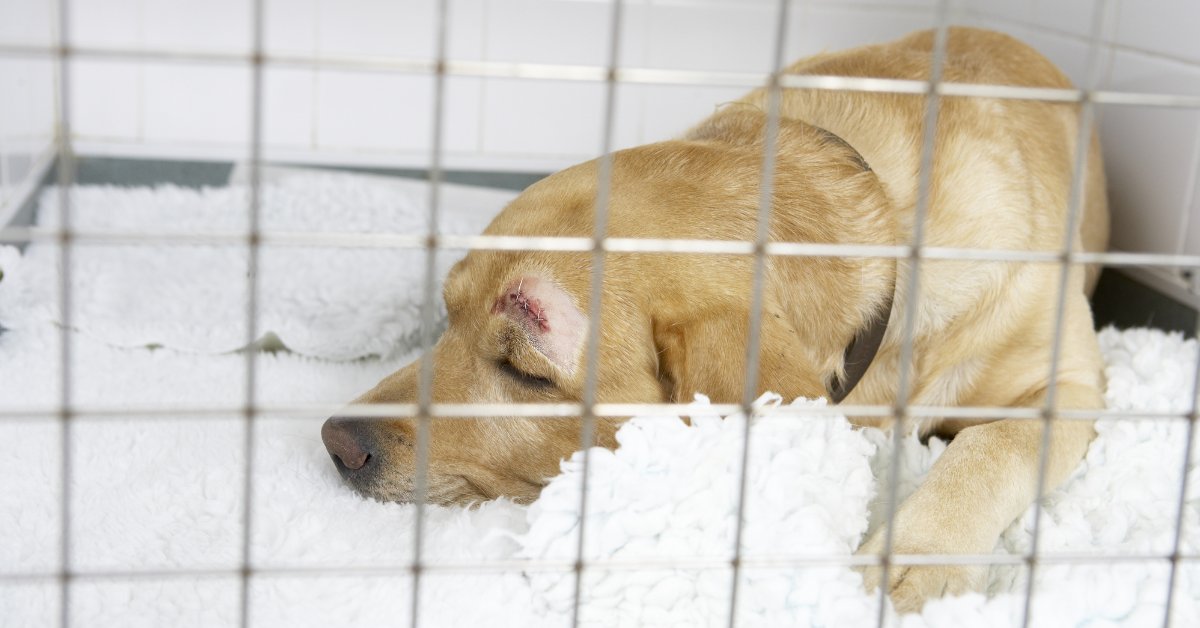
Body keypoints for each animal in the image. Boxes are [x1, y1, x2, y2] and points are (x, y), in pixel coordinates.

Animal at [319, 27, 1104, 612]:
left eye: (527, 372)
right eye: (445, 315)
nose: (338, 442)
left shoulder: (1072, 386)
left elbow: (992, 446)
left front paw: (916, 553)